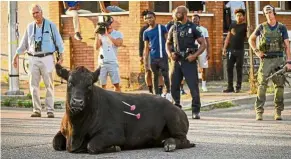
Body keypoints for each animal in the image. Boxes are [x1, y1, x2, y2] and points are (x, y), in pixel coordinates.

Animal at [53, 63, 195, 154]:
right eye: (70, 82)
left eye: (89, 85)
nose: (77, 102)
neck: (76, 129)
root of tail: (175, 106)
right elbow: (55, 143)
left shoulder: (115, 133)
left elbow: (92, 145)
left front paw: (115, 148)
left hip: (174, 120)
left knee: (184, 140)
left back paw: (170, 144)